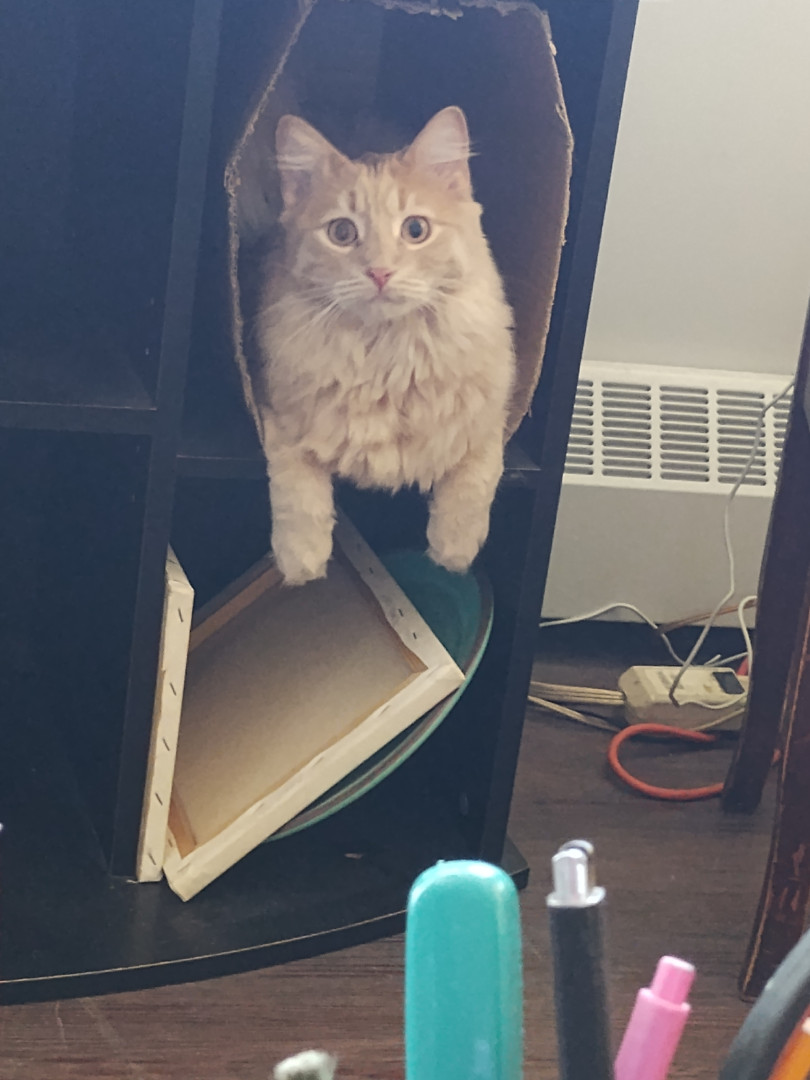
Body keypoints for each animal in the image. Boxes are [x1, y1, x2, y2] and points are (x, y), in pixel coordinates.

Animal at [252, 106, 515, 585]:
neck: (386, 358)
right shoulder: (276, 408)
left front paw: (453, 552)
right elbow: (297, 486)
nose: (379, 272)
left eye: (416, 229)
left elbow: (476, 477)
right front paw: (302, 560)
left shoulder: (492, 414)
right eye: (341, 233)